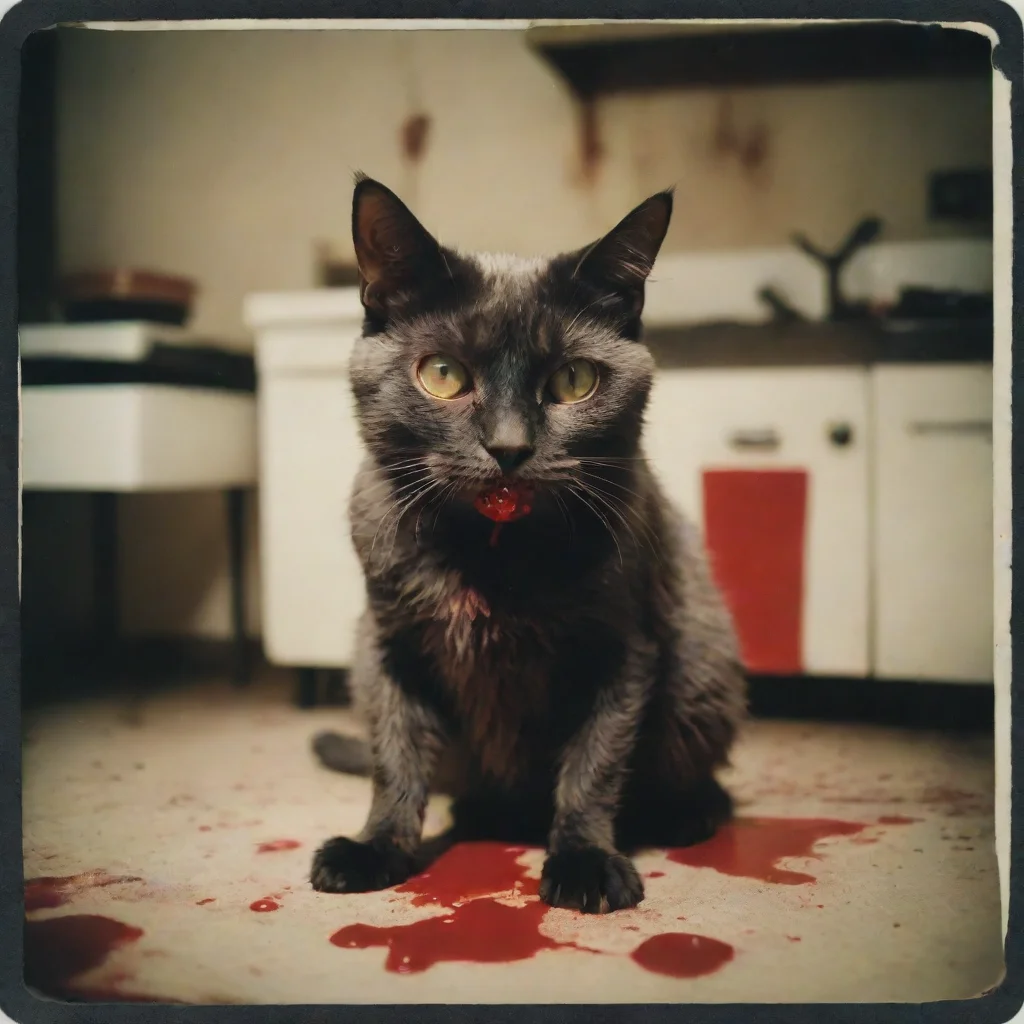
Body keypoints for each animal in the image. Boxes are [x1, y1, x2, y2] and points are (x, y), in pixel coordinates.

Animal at [307, 174, 749, 913]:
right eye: (442, 374)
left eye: (574, 380)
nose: (509, 447)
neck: (492, 556)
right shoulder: (391, 648)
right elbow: (393, 757)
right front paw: (376, 847)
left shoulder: (620, 650)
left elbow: (594, 765)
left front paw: (584, 861)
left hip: (702, 669)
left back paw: (687, 813)